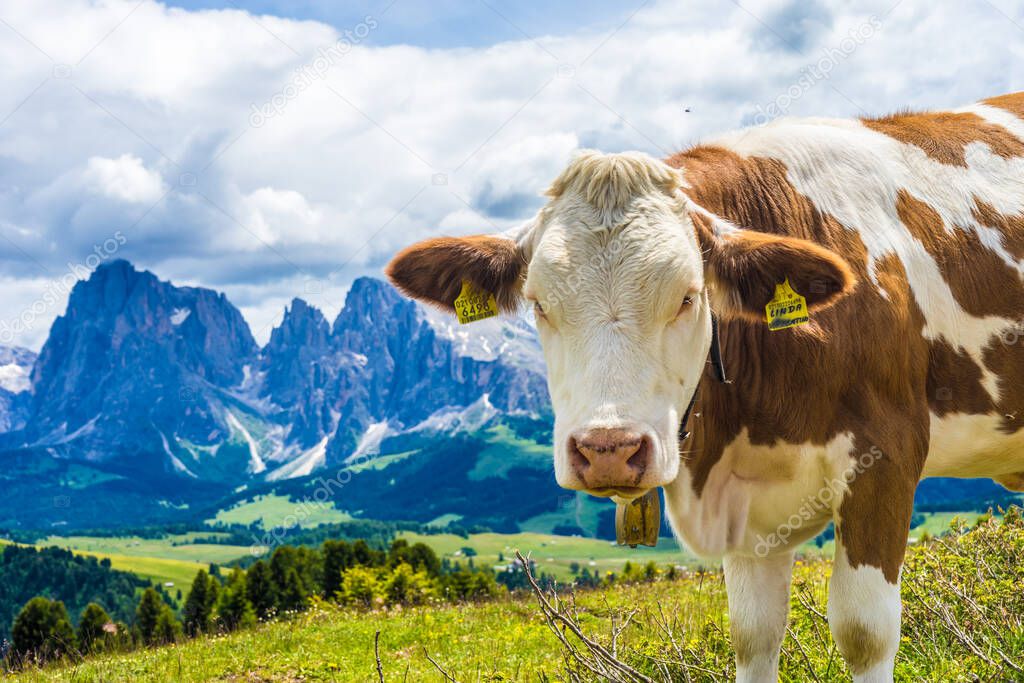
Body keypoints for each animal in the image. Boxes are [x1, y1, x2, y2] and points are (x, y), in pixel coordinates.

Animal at [385, 92, 1024, 683]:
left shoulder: (886, 457)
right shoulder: (747, 506)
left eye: (689, 296)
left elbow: (864, 632)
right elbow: (754, 633)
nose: (607, 450)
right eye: (539, 304)